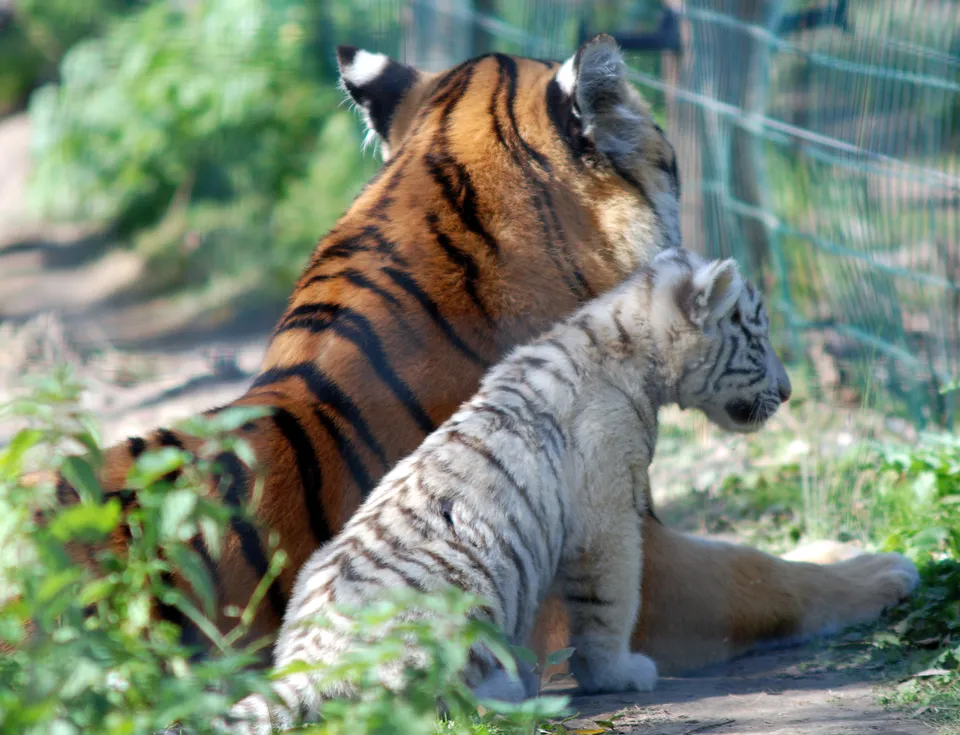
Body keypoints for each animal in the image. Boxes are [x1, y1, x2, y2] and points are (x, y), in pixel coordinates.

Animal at [224, 248, 792, 733]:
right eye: (758, 334)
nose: (787, 392)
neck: (626, 343)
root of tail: (307, 664)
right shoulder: (606, 515)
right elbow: (610, 601)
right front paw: (618, 673)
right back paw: (510, 691)